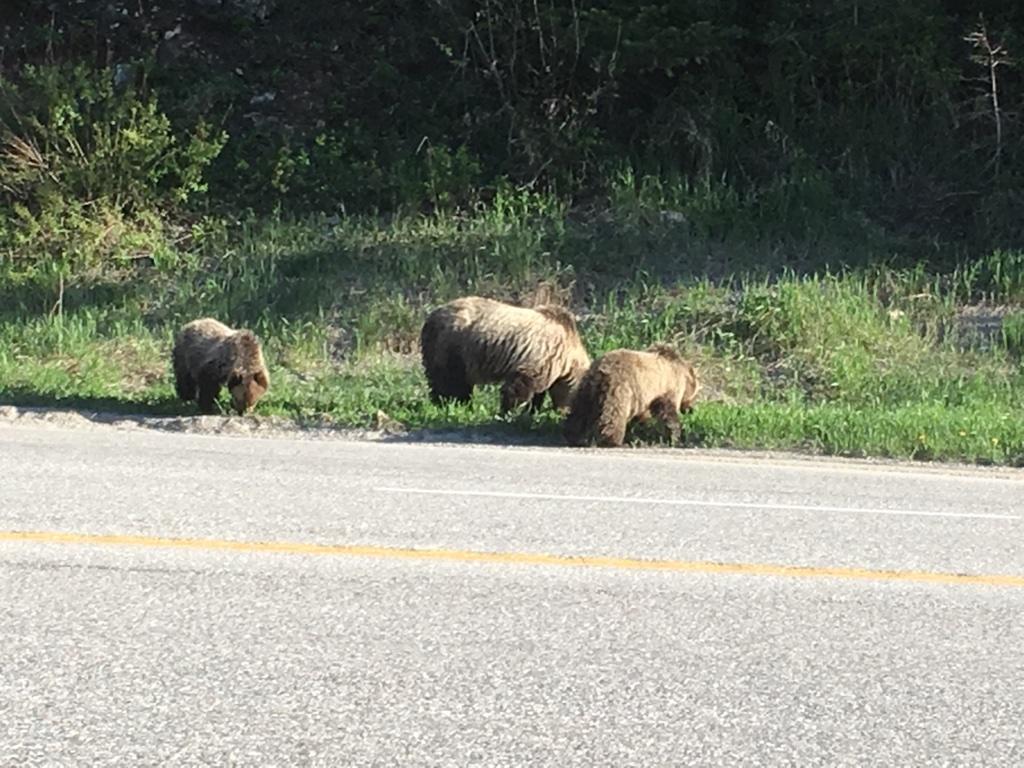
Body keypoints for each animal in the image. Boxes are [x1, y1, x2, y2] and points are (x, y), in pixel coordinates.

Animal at [417, 296, 593, 415]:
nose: (563, 412)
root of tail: (431, 316)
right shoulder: (543, 355)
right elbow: (518, 387)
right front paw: (507, 412)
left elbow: (538, 391)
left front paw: (531, 410)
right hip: (454, 345)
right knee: (451, 380)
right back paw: (453, 404)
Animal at [565, 344, 700, 448]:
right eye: (695, 396)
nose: (691, 409)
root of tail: (601, 369)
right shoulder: (667, 388)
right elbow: (668, 413)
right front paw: (675, 438)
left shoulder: (646, 397)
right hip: (620, 387)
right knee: (613, 413)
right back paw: (613, 441)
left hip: (587, 388)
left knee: (580, 411)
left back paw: (572, 435)